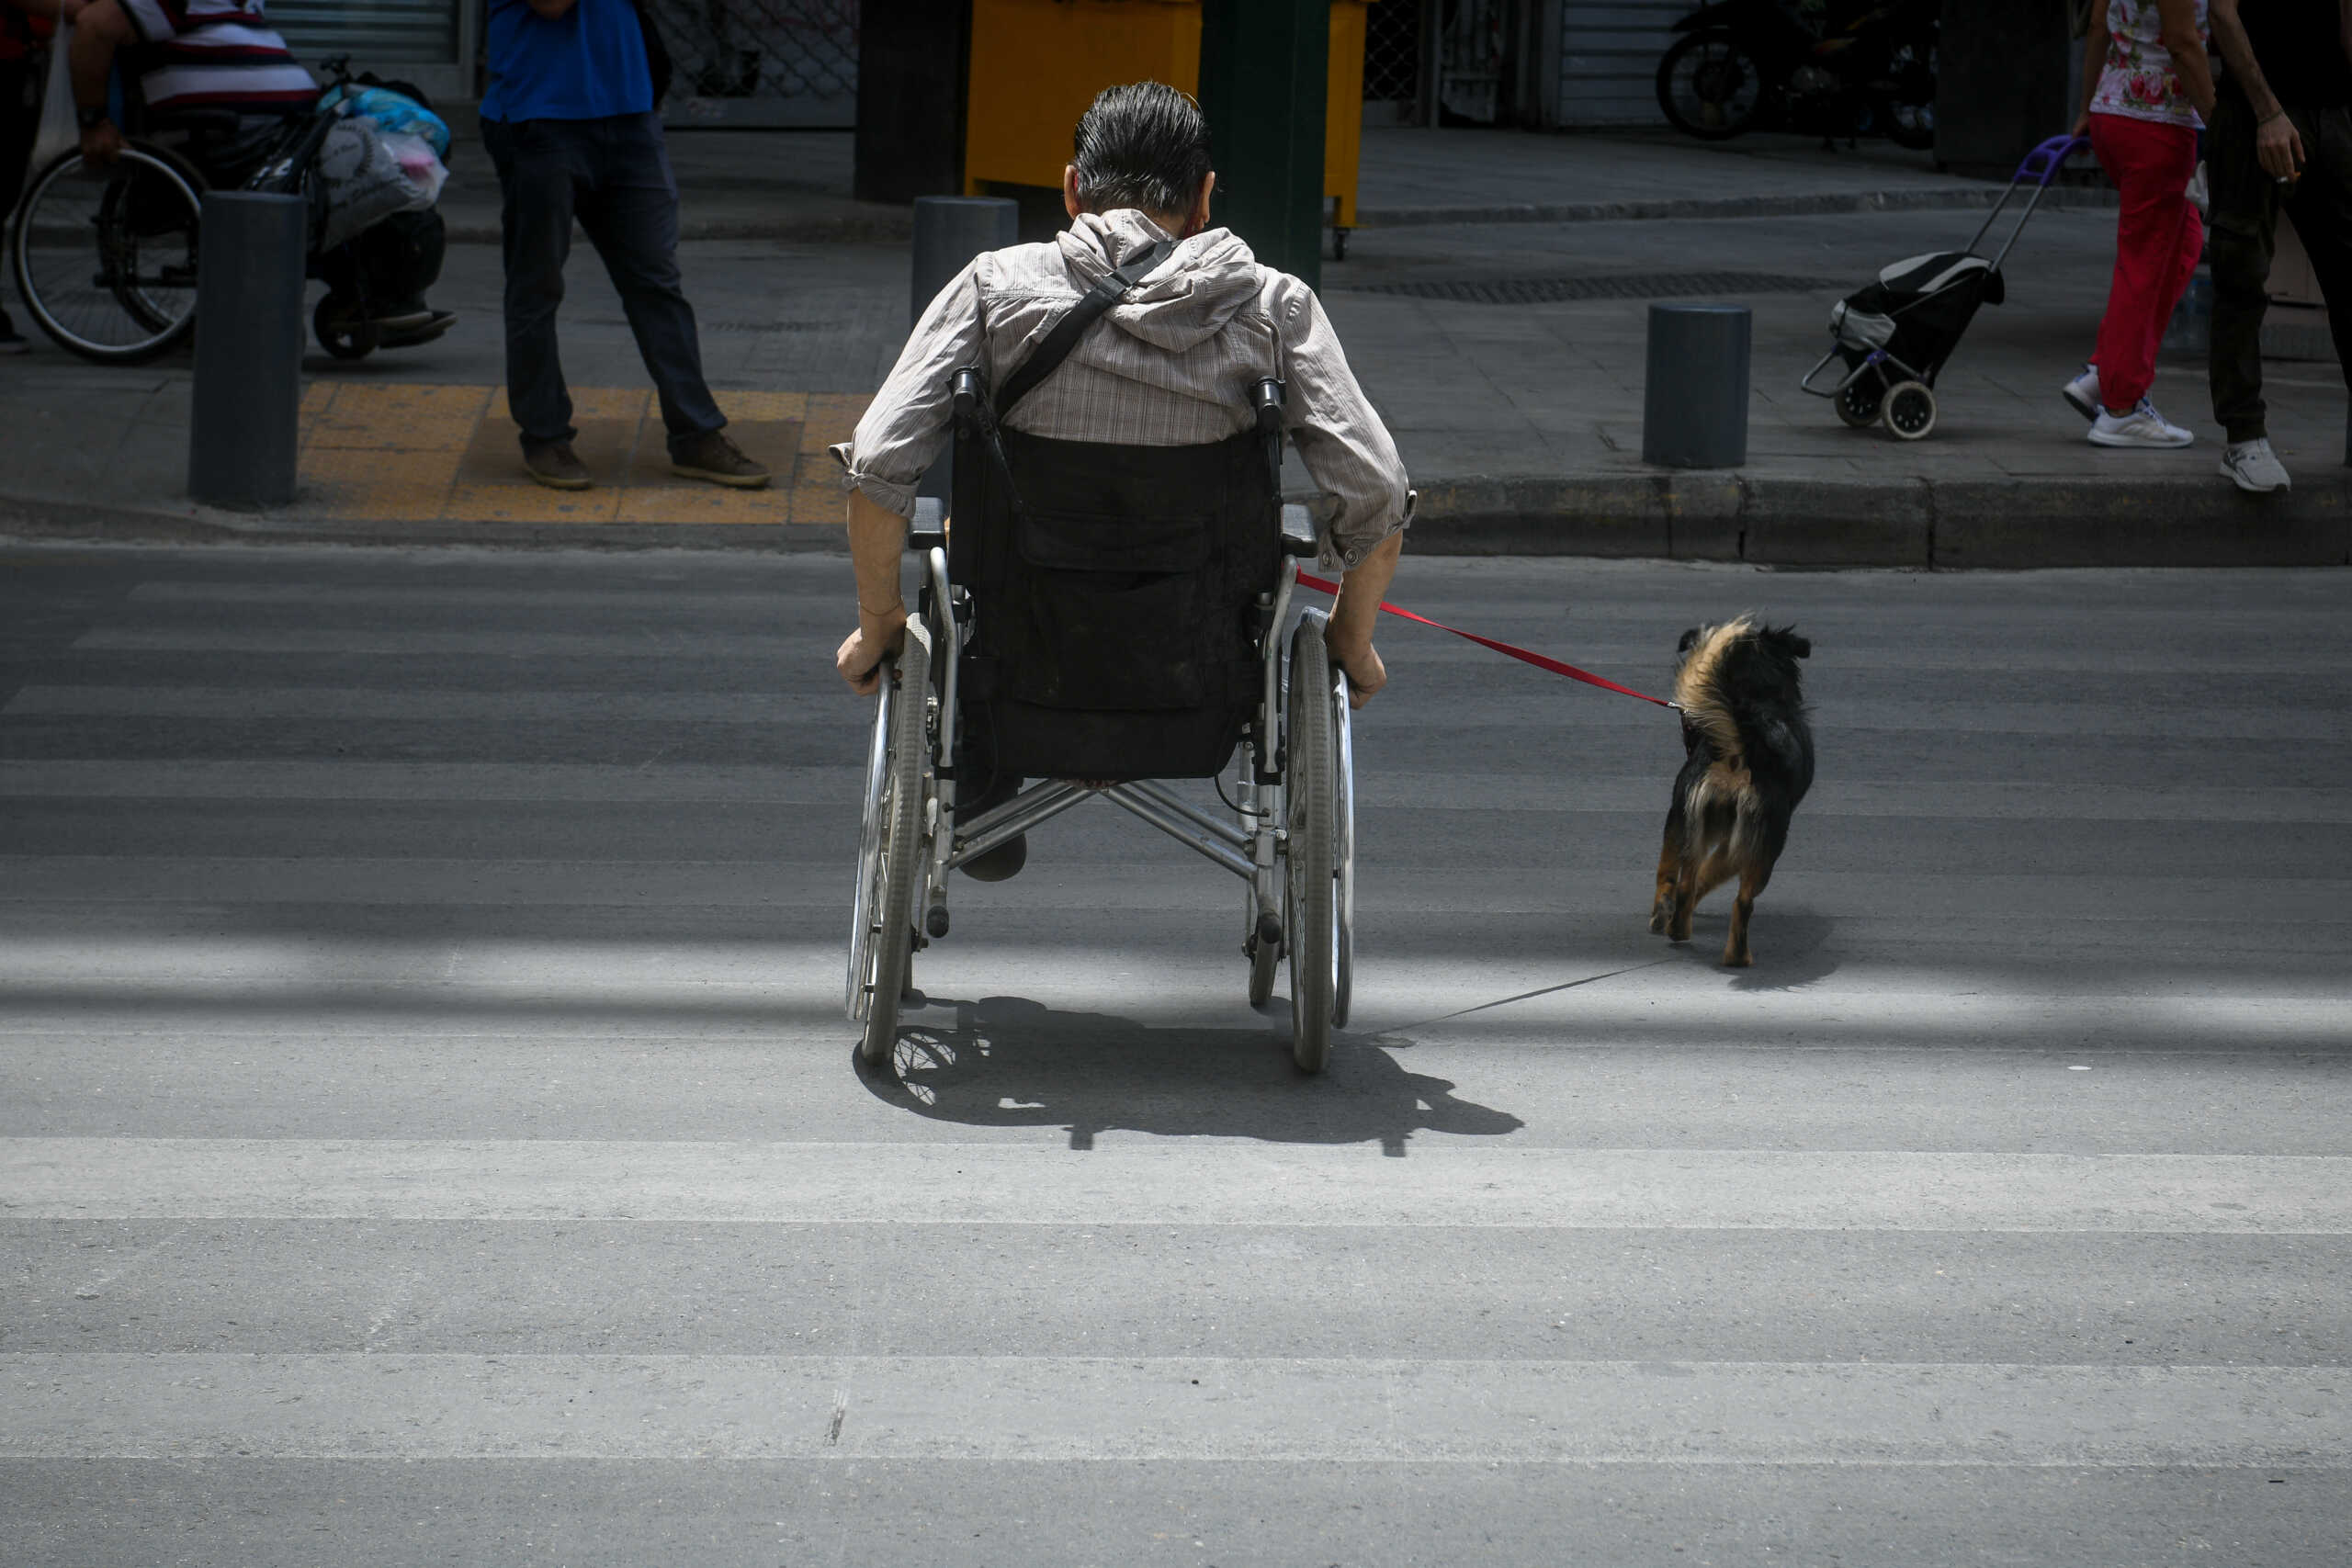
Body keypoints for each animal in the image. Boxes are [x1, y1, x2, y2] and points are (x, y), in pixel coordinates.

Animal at [1656, 620, 1815, 964]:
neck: (1758, 695)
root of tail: (1739, 751)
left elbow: (1694, 875)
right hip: (1767, 841)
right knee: (1742, 903)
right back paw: (1736, 957)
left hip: (1687, 816)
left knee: (1681, 880)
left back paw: (1675, 925)